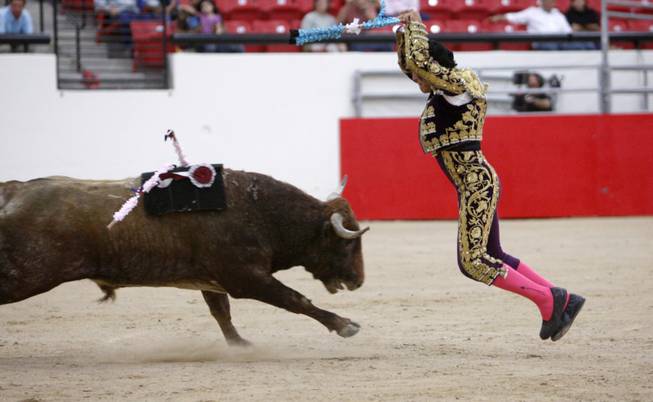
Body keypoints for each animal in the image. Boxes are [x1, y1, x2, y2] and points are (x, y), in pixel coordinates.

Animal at [0, 170, 366, 346]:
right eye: (346, 245)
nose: (359, 280)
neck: (260, 211)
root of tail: (13, 190)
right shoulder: (245, 277)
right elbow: (296, 299)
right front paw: (345, 325)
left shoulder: (213, 279)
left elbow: (221, 313)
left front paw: (240, 345)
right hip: (28, 273)